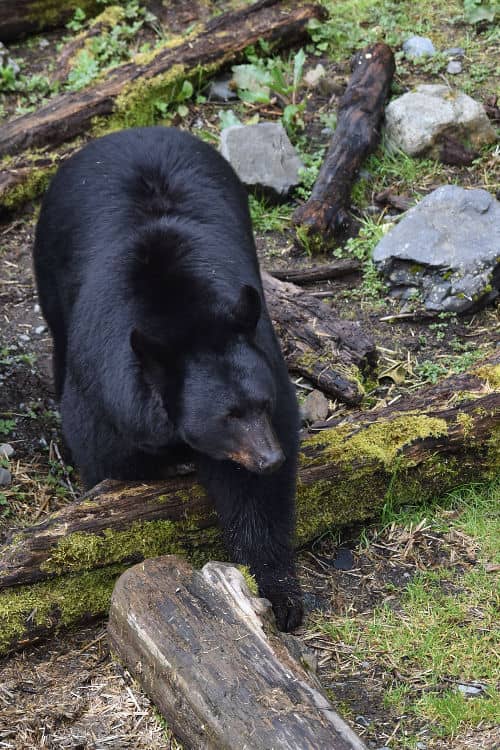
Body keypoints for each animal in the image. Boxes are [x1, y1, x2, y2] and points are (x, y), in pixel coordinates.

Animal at [33, 126, 302, 631]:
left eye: (262, 404)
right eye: (227, 416)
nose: (270, 457)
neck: (182, 314)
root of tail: (134, 130)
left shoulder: (266, 360)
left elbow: (256, 497)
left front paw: (279, 595)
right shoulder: (103, 392)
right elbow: (107, 461)